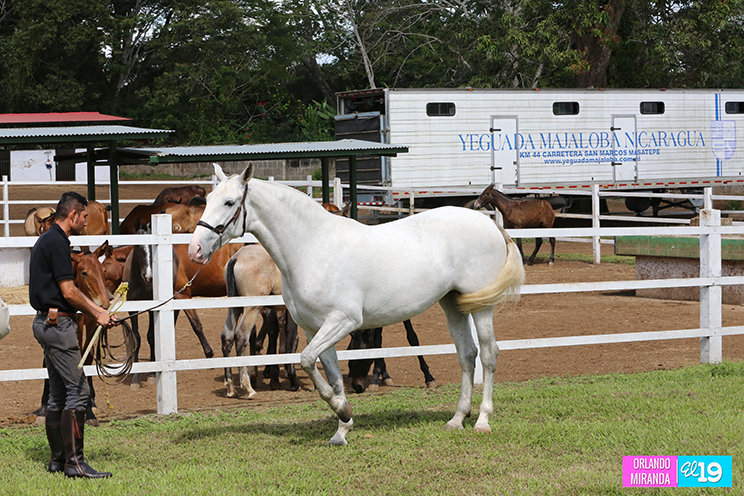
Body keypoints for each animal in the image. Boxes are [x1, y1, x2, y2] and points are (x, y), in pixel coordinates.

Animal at [222, 243, 299, 398]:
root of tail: (236, 257)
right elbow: (292, 338)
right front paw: (292, 379)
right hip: (252, 308)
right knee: (241, 337)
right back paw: (248, 388)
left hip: (235, 307)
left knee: (227, 337)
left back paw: (231, 388)